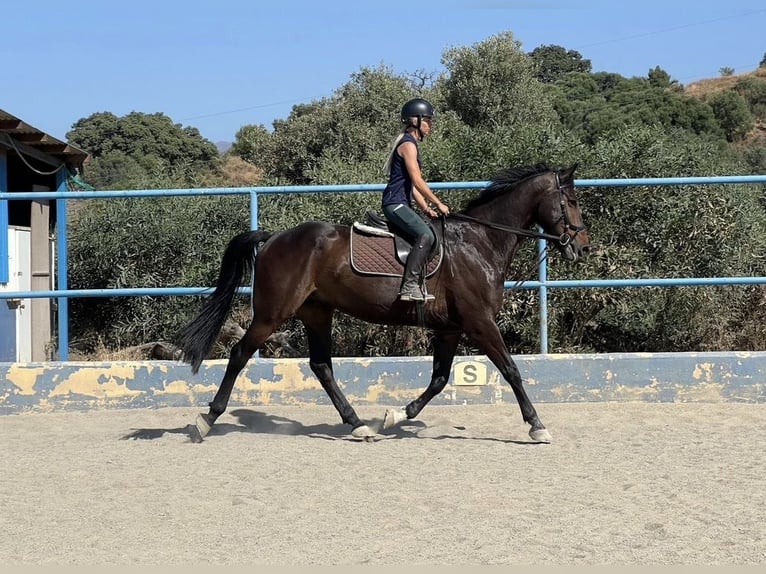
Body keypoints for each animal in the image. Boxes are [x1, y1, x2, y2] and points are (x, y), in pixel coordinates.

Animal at [175, 163, 590, 443]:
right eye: (570, 201)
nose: (583, 247)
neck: (479, 243)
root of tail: (275, 236)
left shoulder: (451, 329)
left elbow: (439, 380)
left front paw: (395, 415)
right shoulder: (479, 323)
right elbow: (511, 371)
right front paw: (537, 426)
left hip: (317, 312)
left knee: (321, 366)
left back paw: (359, 425)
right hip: (273, 313)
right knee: (240, 354)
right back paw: (205, 421)